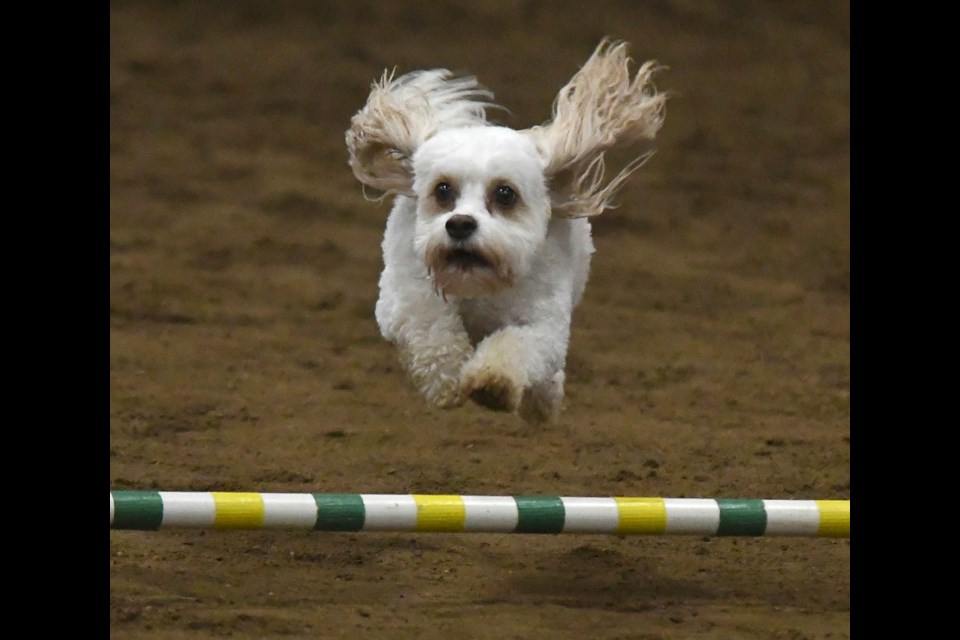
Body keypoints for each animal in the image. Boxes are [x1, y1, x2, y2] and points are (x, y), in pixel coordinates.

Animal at [344, 38, 668, 420]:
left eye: (505, 193)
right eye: (442, 190)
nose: (460, 224)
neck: (479, 285)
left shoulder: (545, 325)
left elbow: (517, 345)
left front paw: (492, 382)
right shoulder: (402, 296)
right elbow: (430, 327)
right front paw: (446, 380)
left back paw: (543, 402)